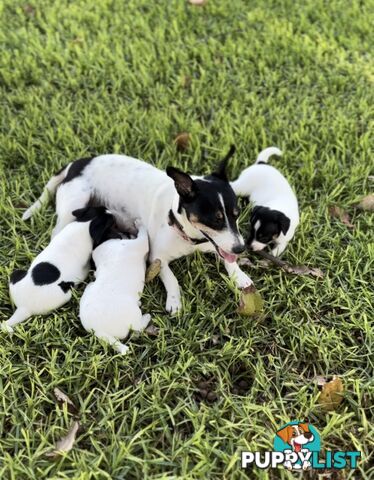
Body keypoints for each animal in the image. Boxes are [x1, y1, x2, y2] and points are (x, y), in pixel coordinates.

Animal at [2, 206, 114, 334]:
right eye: (109, 220)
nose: (112, 213)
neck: (85, 224)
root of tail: (22, 308)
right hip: (66, 294)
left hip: (16, 274)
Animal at [22, 147, 251, 312]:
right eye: (215, 220)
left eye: (237, 213)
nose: (241, 248)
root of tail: (78, 164)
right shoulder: (158, 259)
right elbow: (172, 279)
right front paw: (174, 301)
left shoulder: (218, 245)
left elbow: (228, 261)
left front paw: (240, 276)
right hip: (71, 209)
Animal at [80, 219, 150, 354]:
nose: (126, 231)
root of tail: (98, 329)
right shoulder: (138, 244)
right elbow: (143, 235)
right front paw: (139, 224)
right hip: (132, 315)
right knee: (137, 328)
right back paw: (146, 317)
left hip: (89, 287)